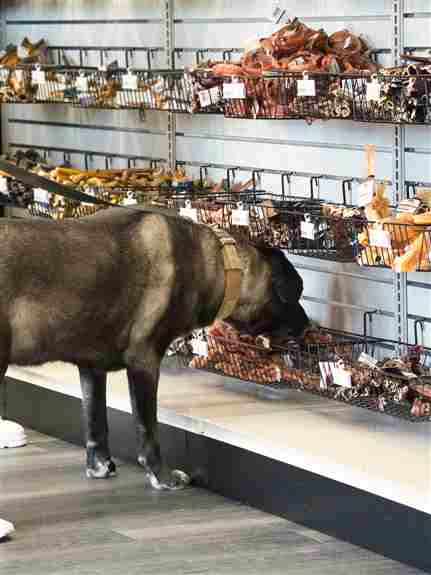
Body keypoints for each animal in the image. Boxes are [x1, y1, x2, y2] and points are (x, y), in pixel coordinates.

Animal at [0, 207, 309, 490]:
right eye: (294, 296)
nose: (307, 325)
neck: (219, 263)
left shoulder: (92, 367)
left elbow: (96, 422)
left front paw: (99, 466)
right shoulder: (144, 361)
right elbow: (147, 427)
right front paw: (161, 476)